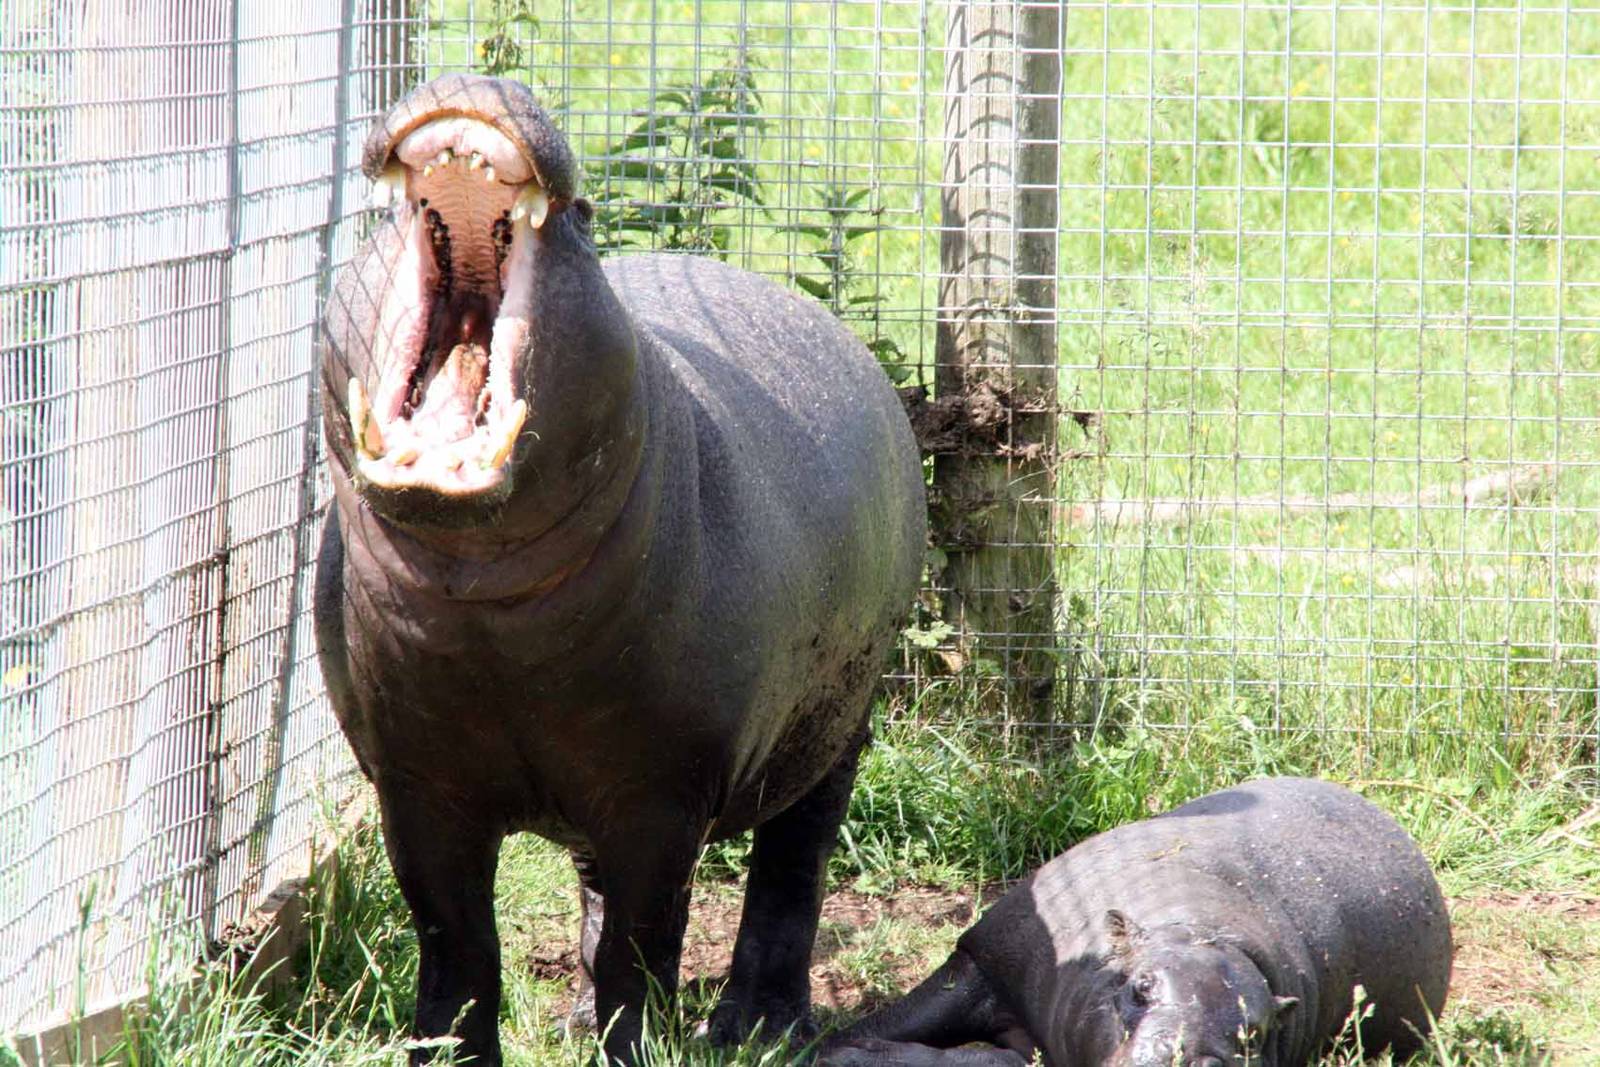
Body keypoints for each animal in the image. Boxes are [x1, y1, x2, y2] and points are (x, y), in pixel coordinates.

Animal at [312, 74, 925, 1065]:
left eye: (591, 213)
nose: (478, 79)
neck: (483, 603)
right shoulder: (414, 783)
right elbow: (455, 945)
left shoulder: (661, 793)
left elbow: (644, 947)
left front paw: (635, 1046)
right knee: (597, 888)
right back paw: (577, 1015)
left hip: (838, 728)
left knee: (791, 866)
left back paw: (757, 1024)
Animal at [821, 777, 1451, 1067]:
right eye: (1140, 988)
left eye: (1255, 1031)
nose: (1185, 1060)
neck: (1197, 930)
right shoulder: (985, 957)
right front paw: (834, 1047)